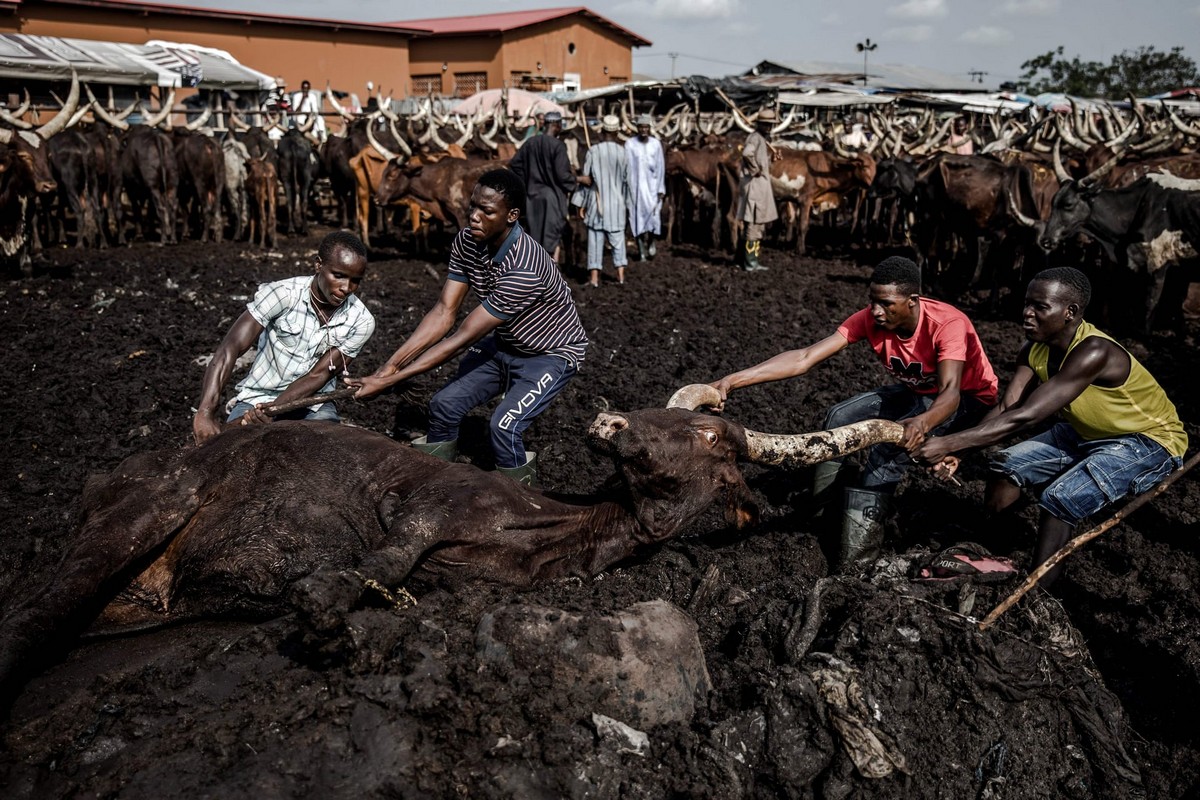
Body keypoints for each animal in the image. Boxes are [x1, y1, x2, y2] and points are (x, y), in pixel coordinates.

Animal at [0, 388, 902, 695]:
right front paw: (327, 624)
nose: (614, 424)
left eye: (713, 439)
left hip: (133, 594)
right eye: (663, 415)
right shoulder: (426, 511)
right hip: (145, 511)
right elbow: (359, 572)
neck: (546, 532)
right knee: (31, 618)